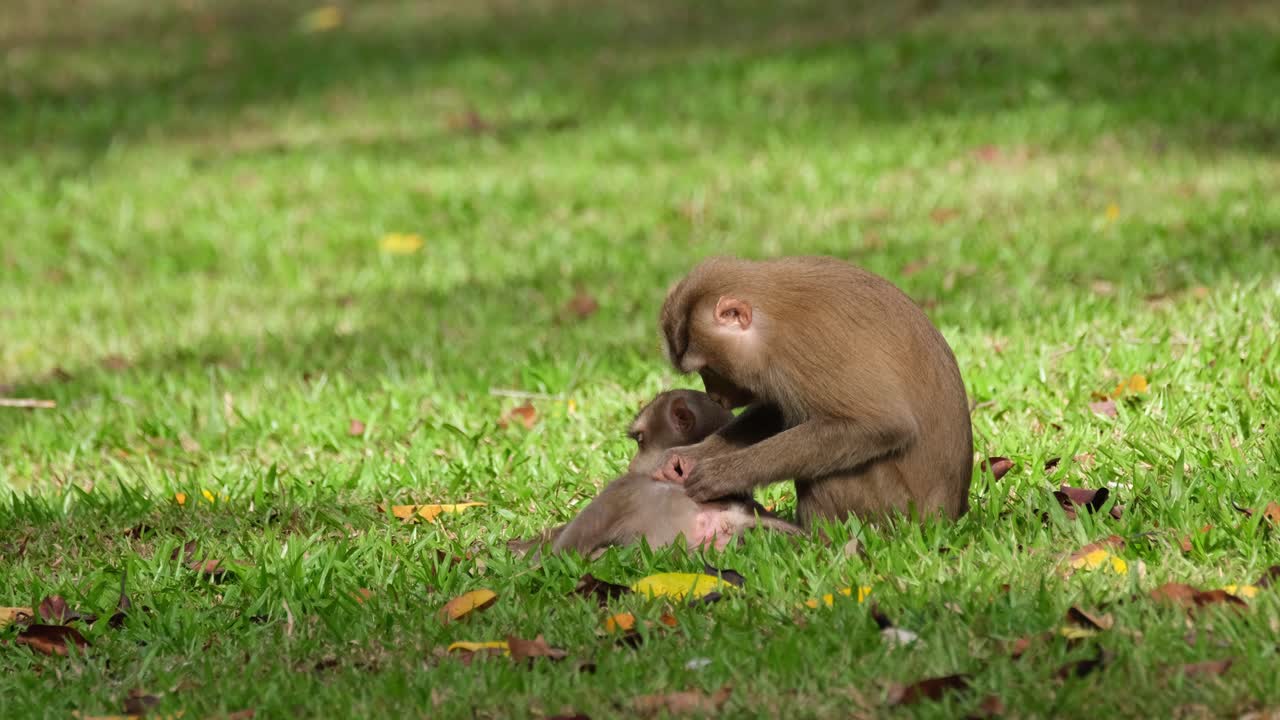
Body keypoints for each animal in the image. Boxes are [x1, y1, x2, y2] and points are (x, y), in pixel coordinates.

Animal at [653, 255, 973, 527]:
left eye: (708, 370)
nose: (714, 396)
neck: (771, 320)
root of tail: (946, 516)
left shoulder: (807, 347)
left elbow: (881, 423)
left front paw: (723, 475)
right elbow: (776, 410)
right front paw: (688, 457)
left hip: (896, 509)